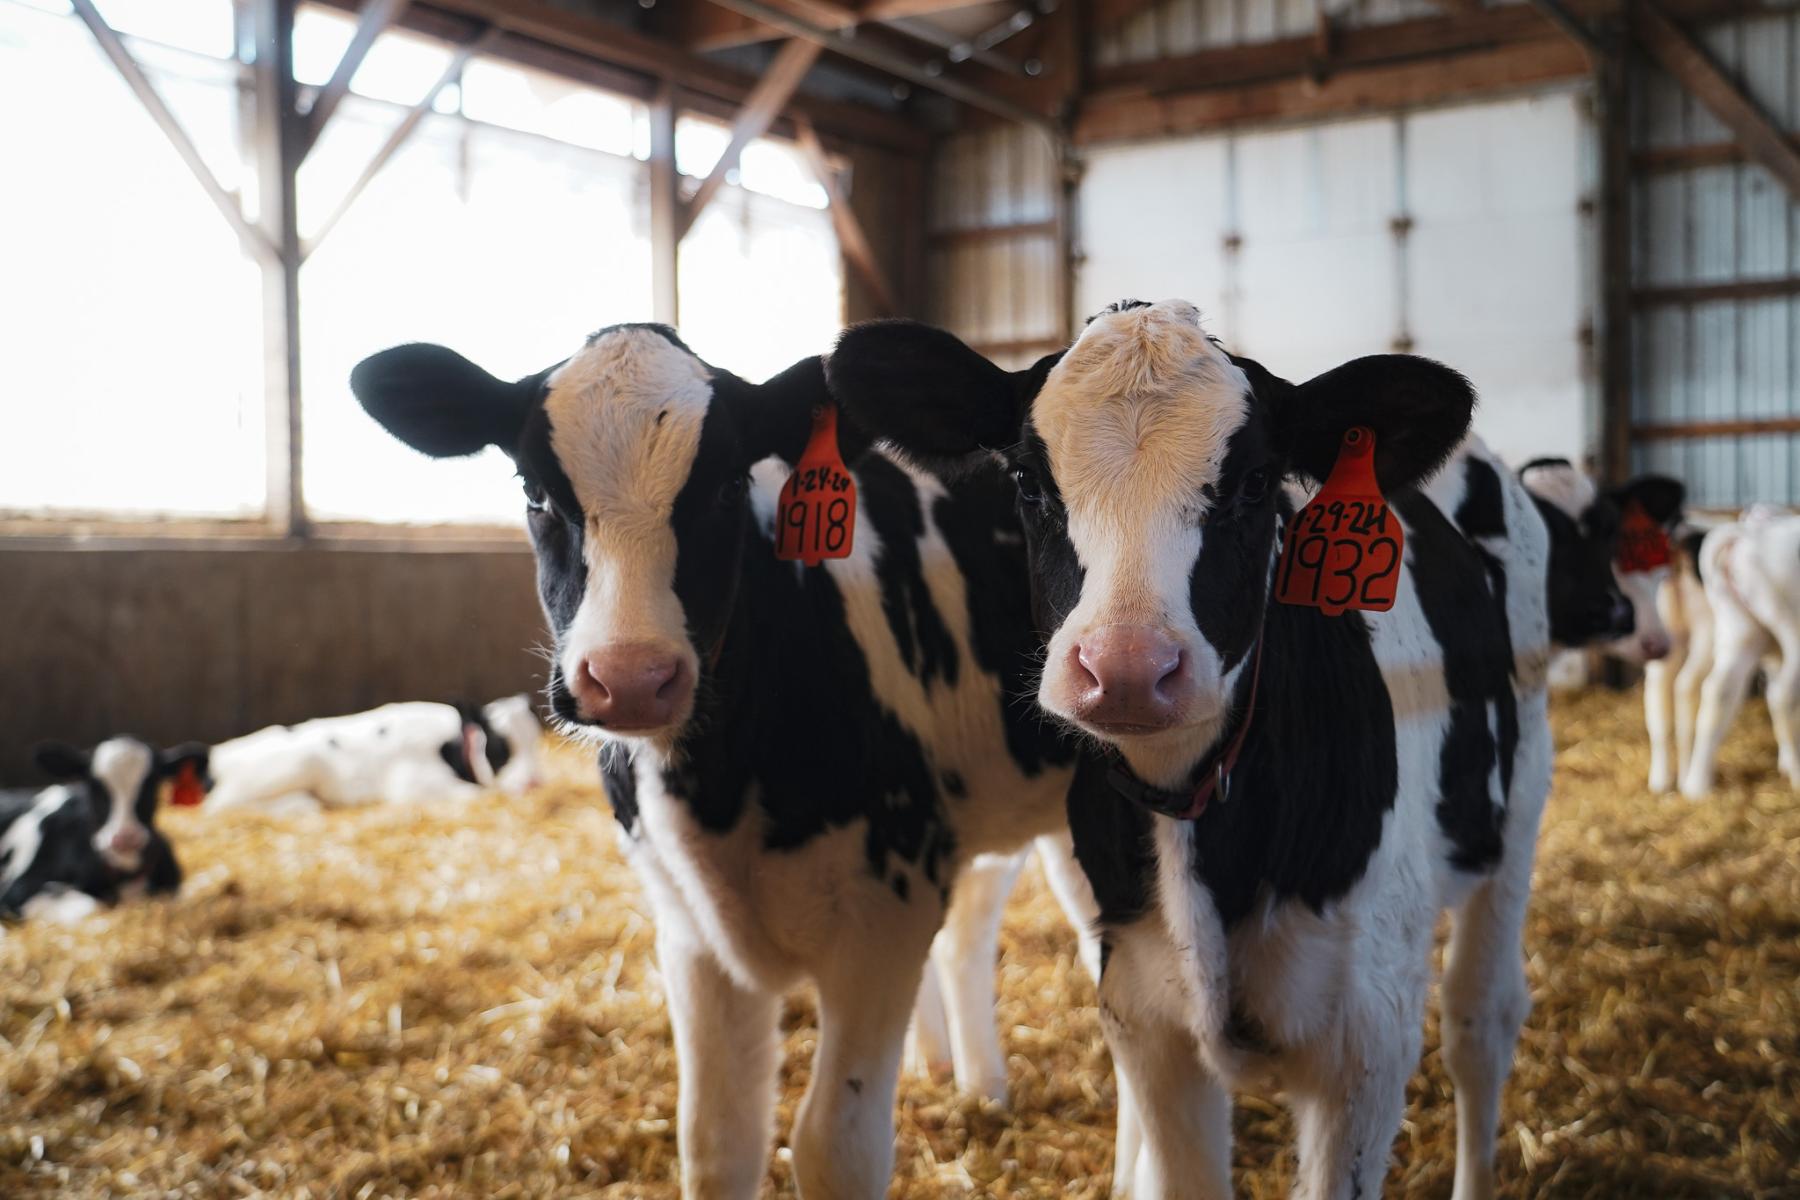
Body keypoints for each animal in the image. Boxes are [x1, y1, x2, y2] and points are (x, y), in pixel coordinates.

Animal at [203, 694, 543, 815]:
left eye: (536, 741)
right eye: (500, 746)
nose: (533, 783)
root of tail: (217, 752)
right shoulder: (412, 783)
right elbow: (478, 794)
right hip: (299, 762)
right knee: (219, 806)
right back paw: (300, 804)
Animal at [349, 324, 1077, 1199]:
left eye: (729, 487)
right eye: (534, 491)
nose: (630, 676)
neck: (719, 793)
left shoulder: (888, 907)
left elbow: (834, 1144)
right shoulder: (690, 929)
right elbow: (715, 1141)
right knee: (974, 929)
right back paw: (974, 1083)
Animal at [830, 298, 1554, 1200]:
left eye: (1256, 485)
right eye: (1028, 484)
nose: (1128, 669)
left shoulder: (1366, 1043)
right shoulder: (1145, 1017)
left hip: (1518, 805)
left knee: (1480, 1023)